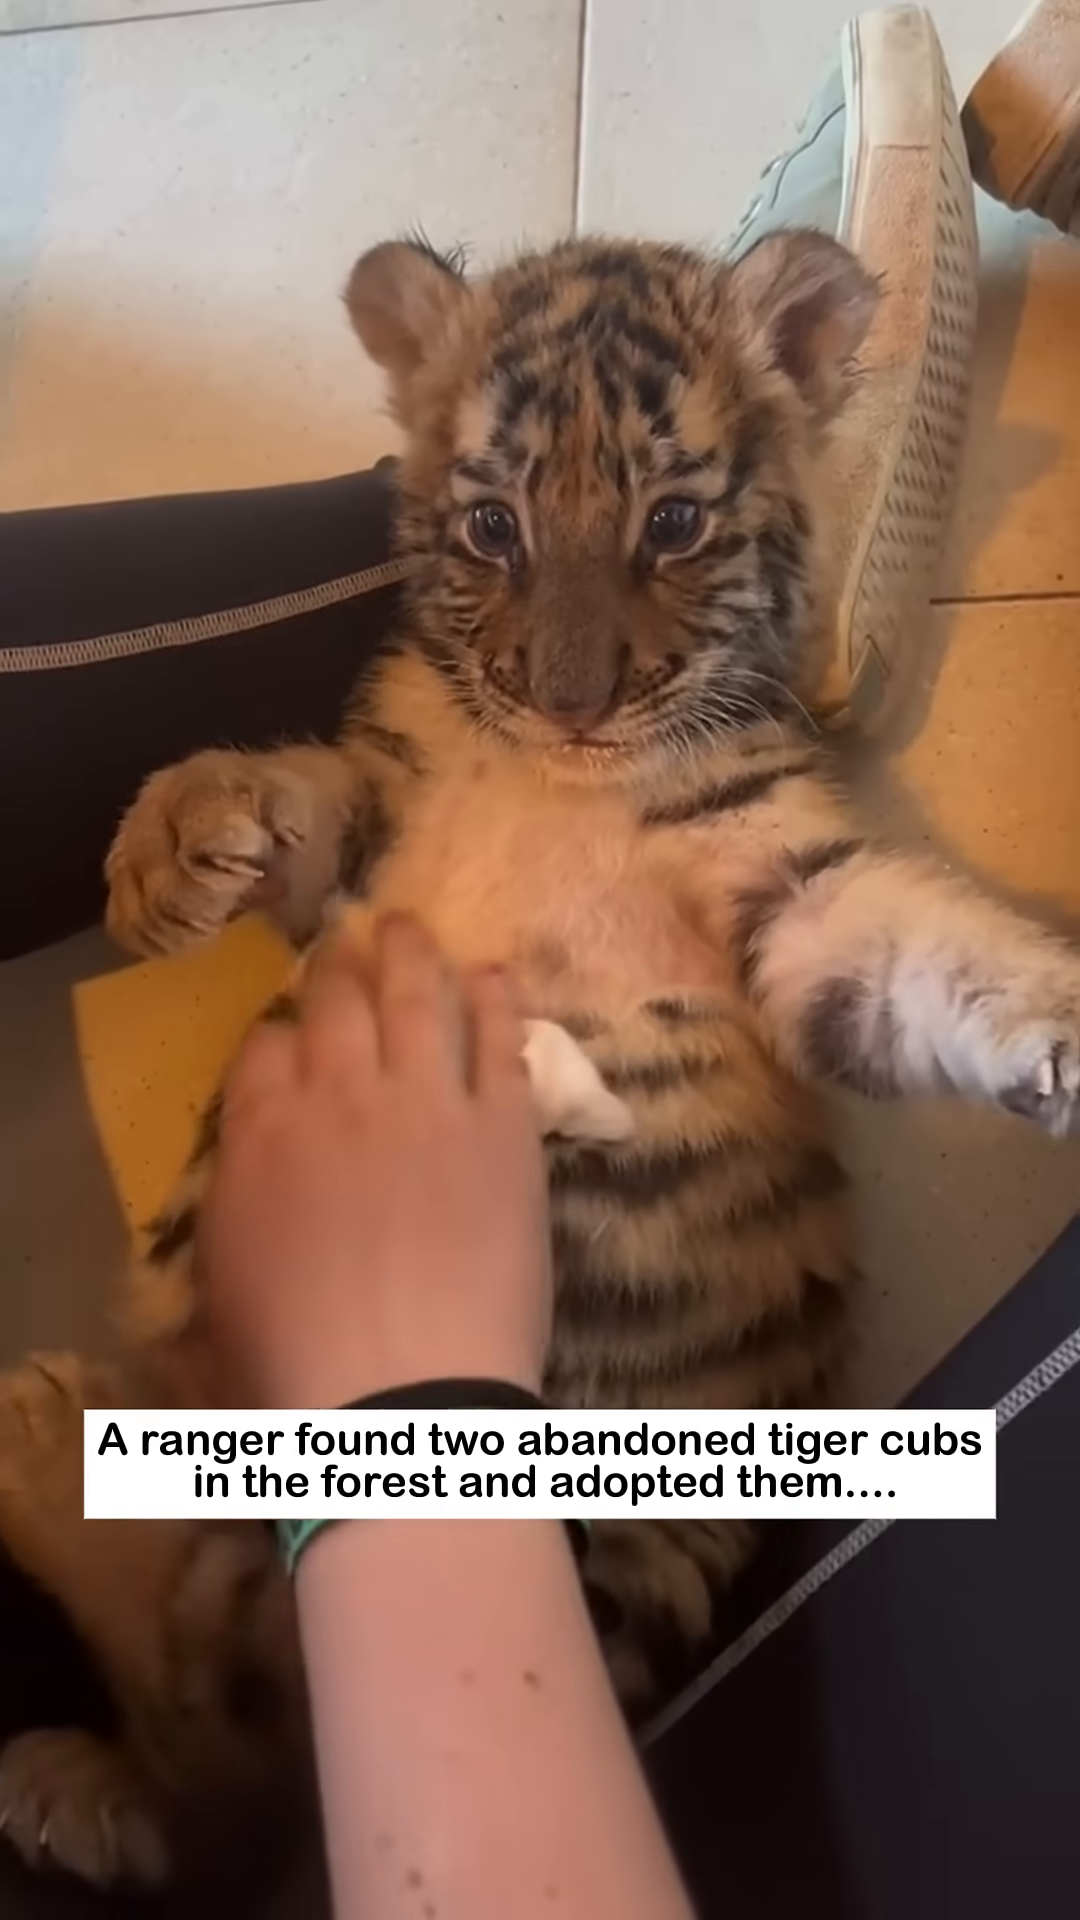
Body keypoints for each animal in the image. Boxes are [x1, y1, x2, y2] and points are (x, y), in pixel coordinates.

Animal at [2, 227, 1079, 1893]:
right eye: (492, 526)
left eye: (675, 523)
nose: (571, 703)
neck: (554, 777)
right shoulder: (374, 822)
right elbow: (290, 794)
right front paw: (171, 850)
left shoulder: (788, 903)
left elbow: (920, 945)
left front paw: (1065, 1023)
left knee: (222, 1709)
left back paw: (50, 1506)